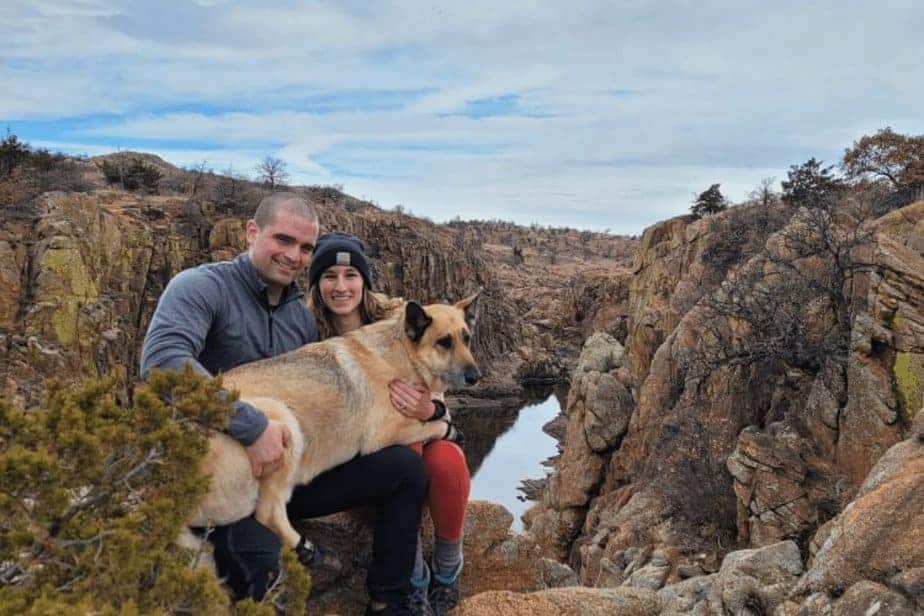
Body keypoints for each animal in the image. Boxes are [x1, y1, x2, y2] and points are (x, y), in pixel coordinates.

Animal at [184, 294, 480, 560]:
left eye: (466, 338)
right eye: (444, 342)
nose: (476, 376)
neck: (406, 353)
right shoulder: (384, 433)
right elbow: (435, 426)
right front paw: (450, 429)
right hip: (283, 421)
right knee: (267, 513)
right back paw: (305, 548)